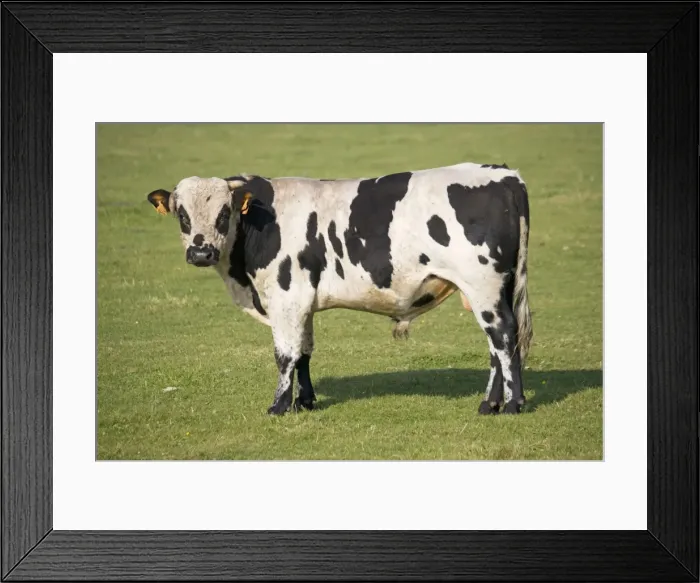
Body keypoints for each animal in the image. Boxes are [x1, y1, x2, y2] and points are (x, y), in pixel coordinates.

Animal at [146, 161, 532, 416]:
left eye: (224, 213)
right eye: (182, 215)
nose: (201, 253)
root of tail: (502, 173)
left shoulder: (286, 297)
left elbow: (284, 355)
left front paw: (279, 406)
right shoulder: (302, 301)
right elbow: (304, 352)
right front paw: (305, 401)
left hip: (484, 286)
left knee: (503, 336)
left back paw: (513, 404)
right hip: (489, 290)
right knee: (496, 346)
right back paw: (490, 403)